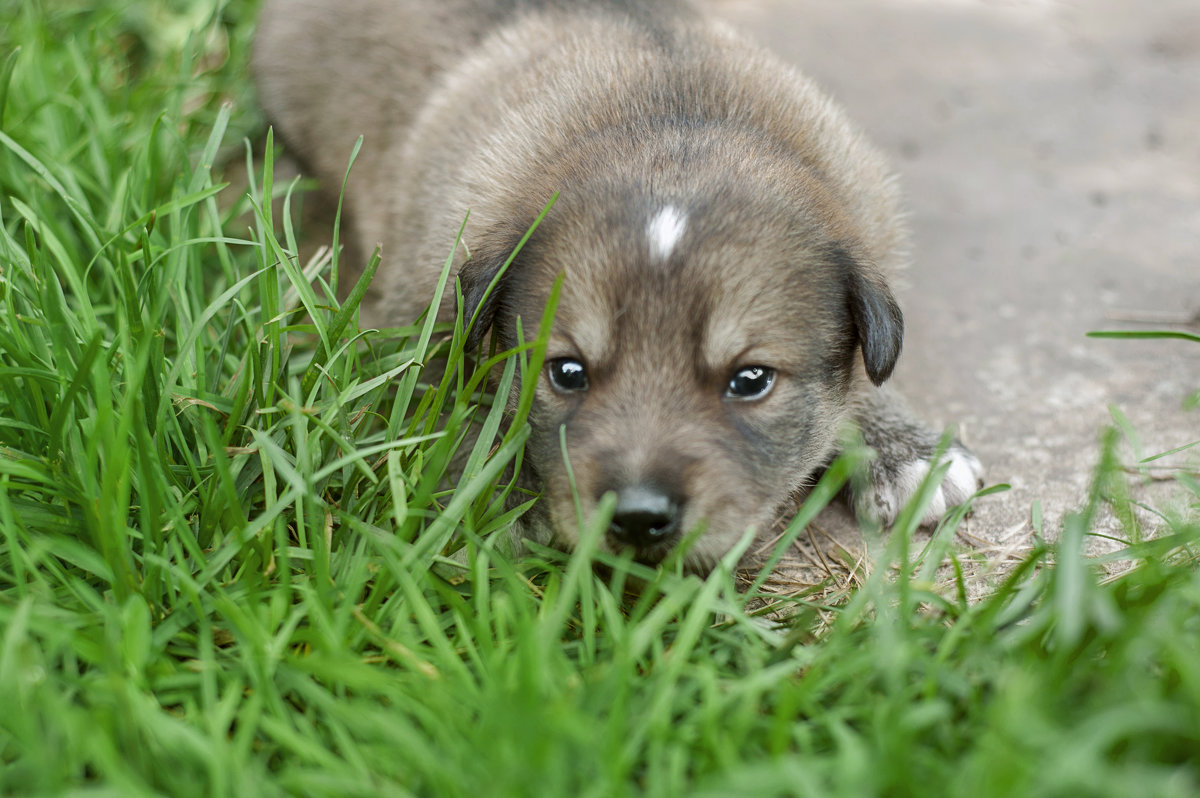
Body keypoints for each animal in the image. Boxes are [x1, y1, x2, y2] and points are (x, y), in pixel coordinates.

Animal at [255, 1, 984, 573]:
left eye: (750, 381)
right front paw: (496, 496)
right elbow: (449, 399)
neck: (669, 113)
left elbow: (866, 377)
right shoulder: (424, 299)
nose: (637, 518)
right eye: (566, 373)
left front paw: (905, 450)